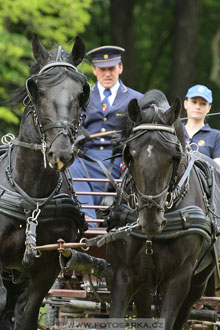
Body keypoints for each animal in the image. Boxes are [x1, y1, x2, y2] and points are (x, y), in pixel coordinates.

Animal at [0, 33, 90, 330]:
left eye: (82, 92)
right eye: (36, 90)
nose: (61, 151)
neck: (32, 197)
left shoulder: (46, 269)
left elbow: (26, 316)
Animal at [108, 88, 220, 330]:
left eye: (174, 156)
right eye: (129, 154)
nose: (150, 219)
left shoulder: (179, 278)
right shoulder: (124, 273)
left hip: (199, 280)